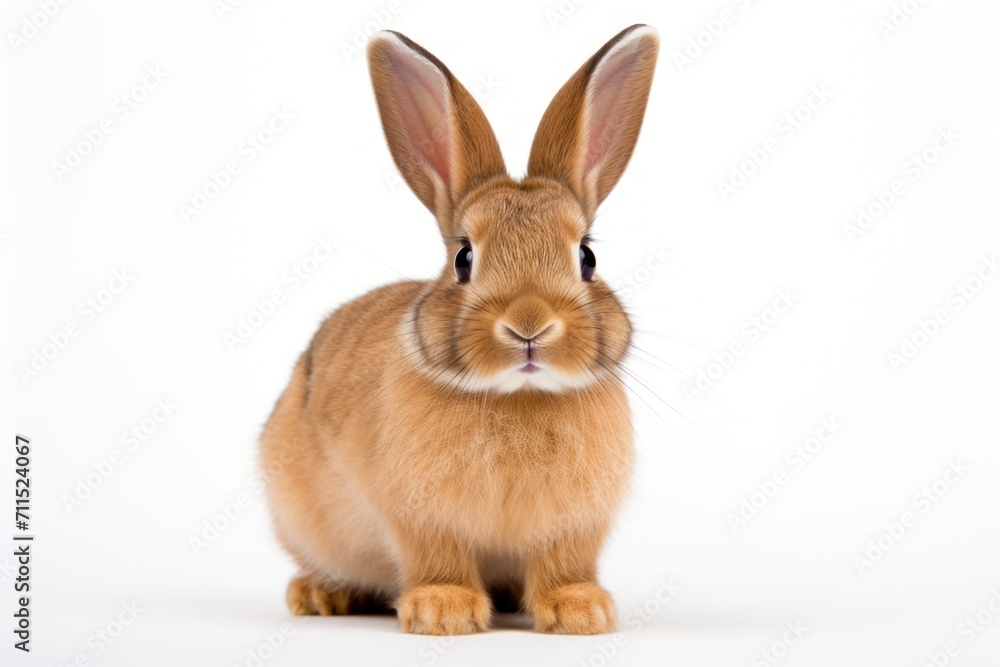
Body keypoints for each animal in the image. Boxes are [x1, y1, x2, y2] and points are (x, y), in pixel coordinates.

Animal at [260, 24, 659, 635]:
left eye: (587, 258)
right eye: (463, 258)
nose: (528, 326)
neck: (519, 396)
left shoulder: (574, 526)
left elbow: (564, 564)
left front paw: (582, 611)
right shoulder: (419, 516)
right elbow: (438, 558)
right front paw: (443, 612)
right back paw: (320, 596)